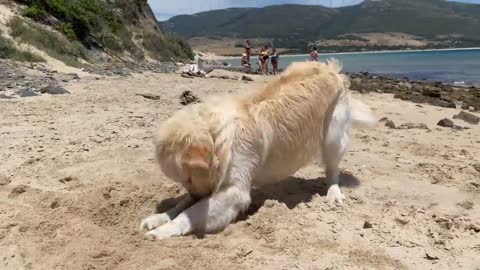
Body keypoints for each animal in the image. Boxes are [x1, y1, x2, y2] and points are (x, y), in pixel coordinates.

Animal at [141, 59, 376, 240]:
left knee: (332, 167)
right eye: (184, 181)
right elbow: (183, 205)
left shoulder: (233, 192)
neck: (218, 135)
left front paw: (163, 229)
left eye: (189, 177)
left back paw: (333, 193)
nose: (199, 195)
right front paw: (159, 218)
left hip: (333, 134)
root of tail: (331, 67)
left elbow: (189, 213)